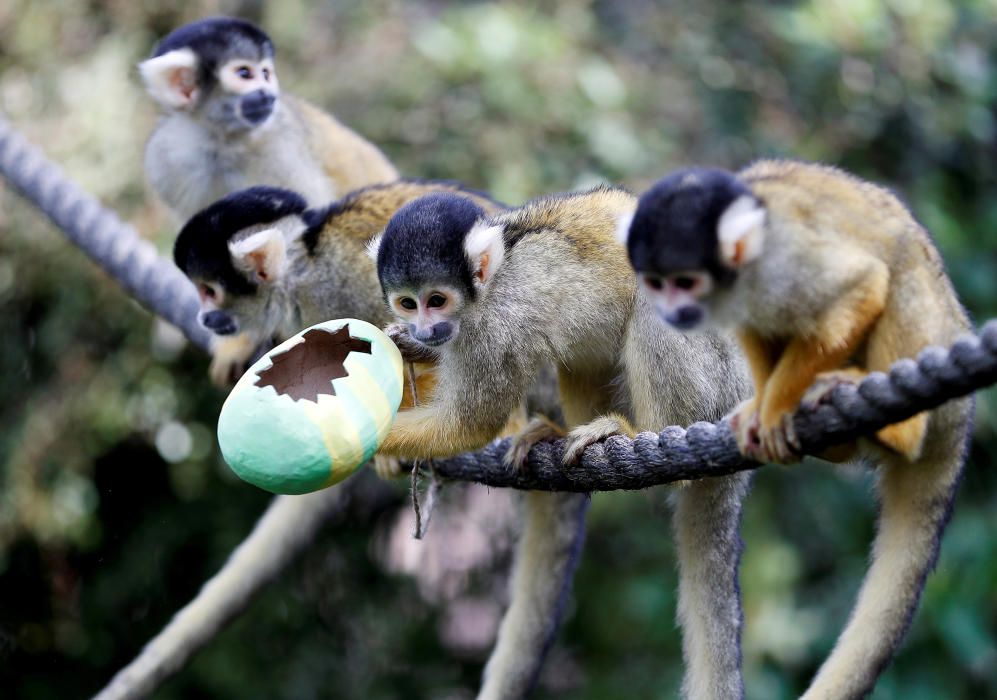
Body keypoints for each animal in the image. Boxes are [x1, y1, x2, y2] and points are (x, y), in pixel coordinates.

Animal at [140, 17, 396, 221]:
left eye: (265, 74)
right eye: (245, 74)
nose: (268, 94)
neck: (223, 142)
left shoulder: (280, 149)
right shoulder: (165, 159)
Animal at [370, 189, 752, 696]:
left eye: (437, 299)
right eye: (409, 304)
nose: (426, 329)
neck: (489, 284)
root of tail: (748, 396)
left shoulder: (498, 325)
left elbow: (470, 422)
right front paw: (409, 348)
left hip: (719, 373)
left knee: (651, 304)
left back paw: (640, 431)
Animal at [624, 159, 972, 700]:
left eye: (685, 281)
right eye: (656, 283)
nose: (672, 311)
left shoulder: (784, 264)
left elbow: (862, 287)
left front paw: (775, 410)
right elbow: (757, 333)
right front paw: (760, 409)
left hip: (933, 349)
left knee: (898, 272)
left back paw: (895, 428)